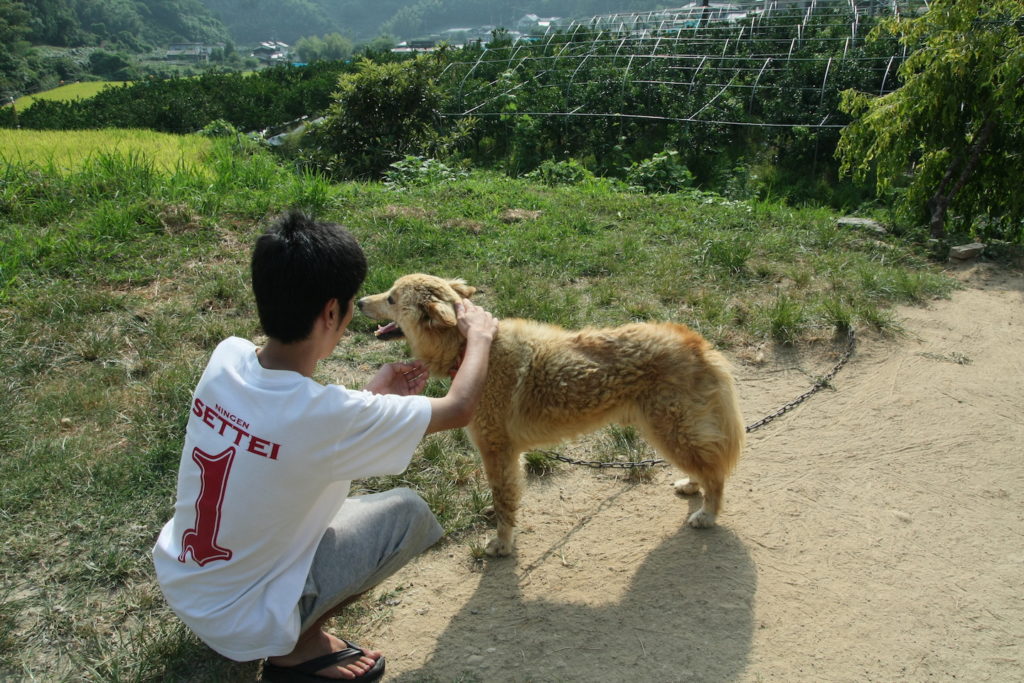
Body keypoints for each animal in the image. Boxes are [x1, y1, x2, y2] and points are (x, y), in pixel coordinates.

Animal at [360, 272, 745, 557]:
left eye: (391, 298)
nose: (360, 302)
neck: (471, 349)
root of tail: (697, 342)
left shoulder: (496, 449)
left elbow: (504, 498)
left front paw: (502, 543)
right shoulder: (508, 454)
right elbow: (504, 495)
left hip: (671, 429)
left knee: (715, 473)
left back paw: (708, 513)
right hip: (675, 430)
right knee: (704, 465)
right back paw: (692, 485)